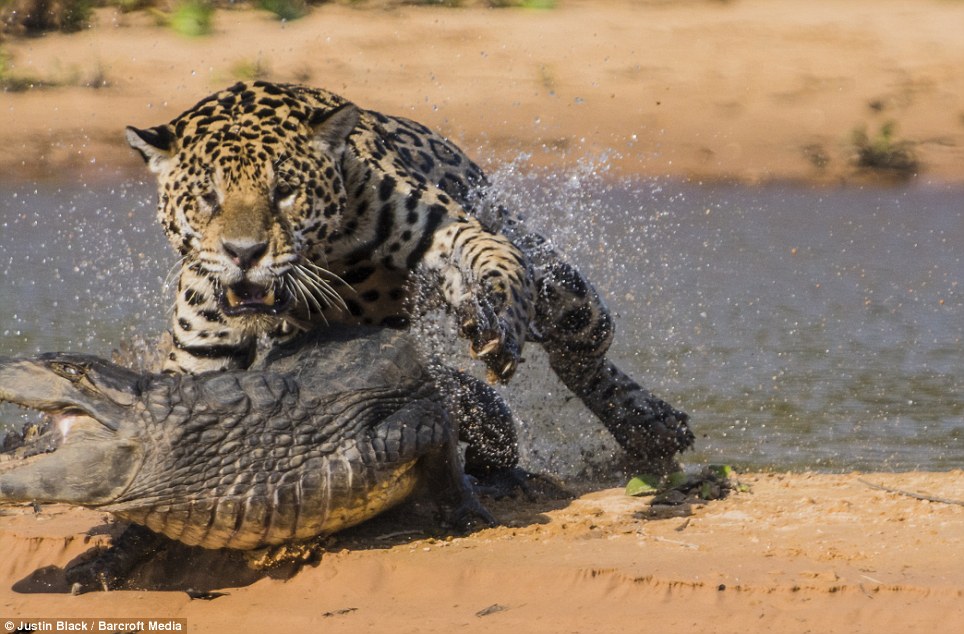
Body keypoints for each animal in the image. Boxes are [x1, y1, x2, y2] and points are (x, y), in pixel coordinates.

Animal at [127, 80, 693, 469]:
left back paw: (650, 426)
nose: (244, 253)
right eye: (207, 197)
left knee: (580, 348)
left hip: (563, 289)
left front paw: (500, 331)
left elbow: (500, 270)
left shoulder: (452, 228)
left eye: (285, 191)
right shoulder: (202, 357)